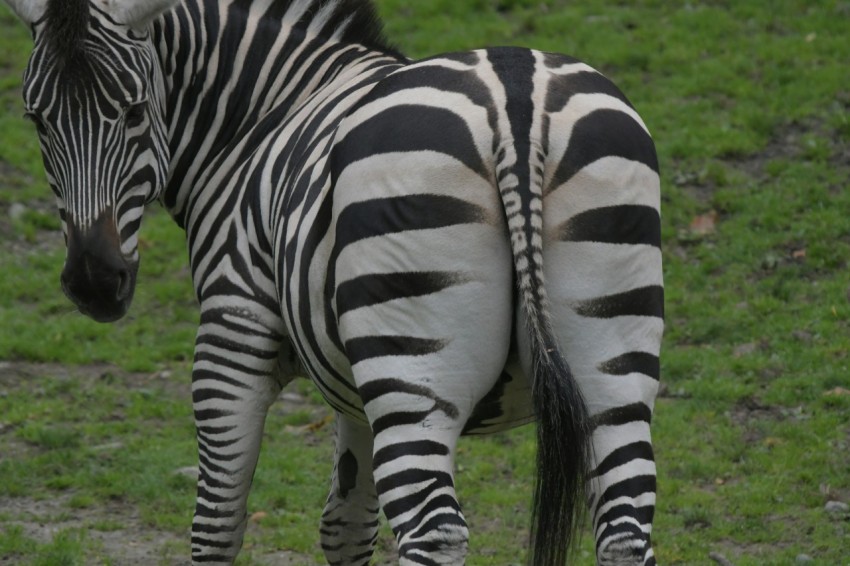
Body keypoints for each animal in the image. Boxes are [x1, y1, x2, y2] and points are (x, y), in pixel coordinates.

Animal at [4, 0, 664, 564]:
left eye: (135, 110)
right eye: (36, 120)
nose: (93, 282)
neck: (262, 116)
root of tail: (514, 100)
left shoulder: (232, 337)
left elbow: (216, 525)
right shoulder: (352, 386)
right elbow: (345, 526)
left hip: (411, 371)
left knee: (433, 534)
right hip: (609, 369)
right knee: (625, 531)